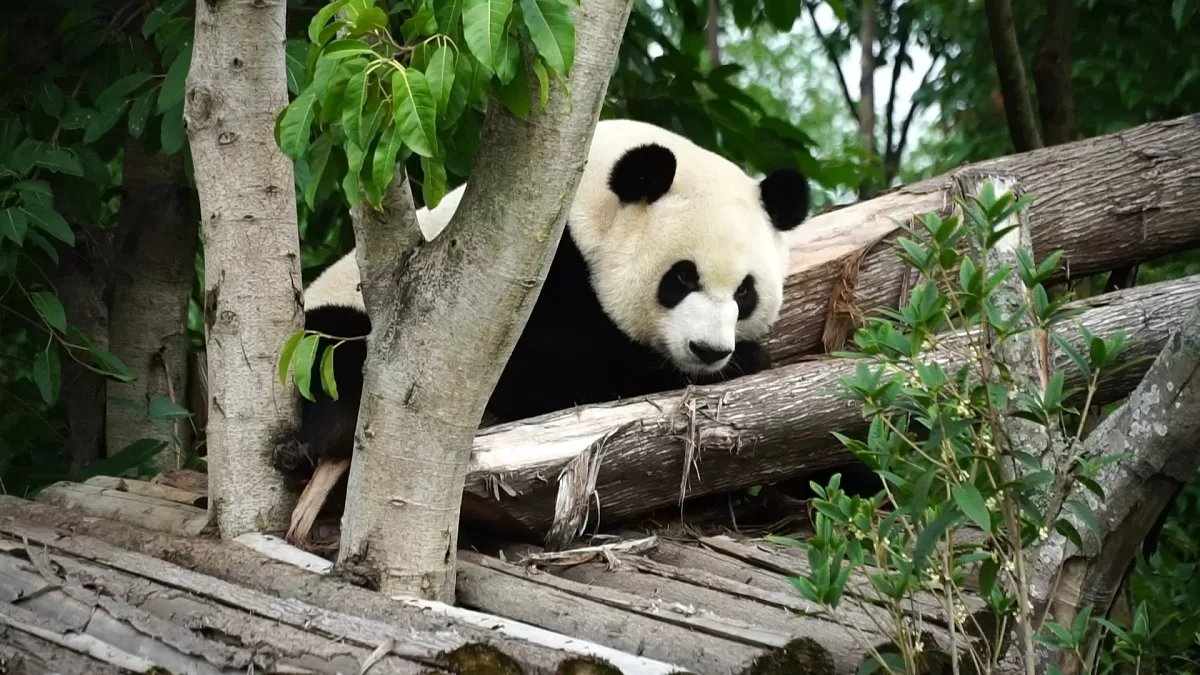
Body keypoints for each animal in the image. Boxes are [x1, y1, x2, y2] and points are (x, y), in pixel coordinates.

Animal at [271, 118, 810, 483]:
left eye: (745, 291)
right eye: (680, 277)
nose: (709, 350)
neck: (588, 201)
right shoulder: (534, 273)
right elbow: (552, 367)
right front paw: (744, 360)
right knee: (331, 348)